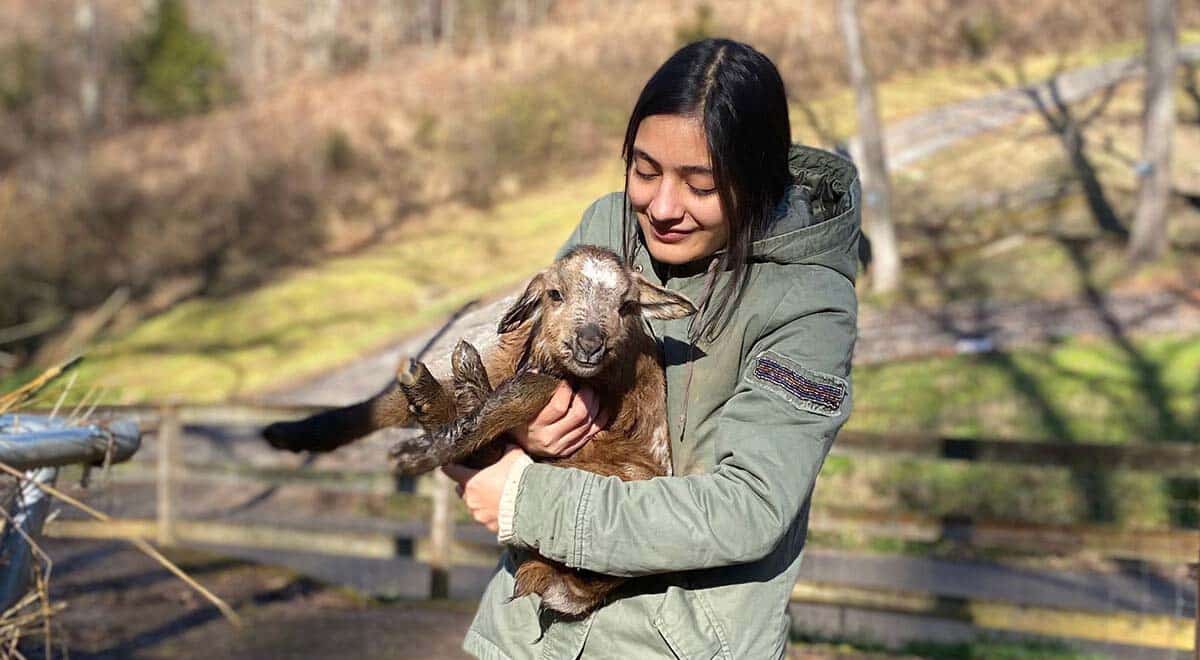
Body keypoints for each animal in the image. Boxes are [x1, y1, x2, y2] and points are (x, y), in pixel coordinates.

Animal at [262, 246, 696, 619]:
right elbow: (386, 406)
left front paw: (422, 452)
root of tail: (583, 590)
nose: (590, 344)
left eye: (627, 307)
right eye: (555, 294)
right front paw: (294, 433)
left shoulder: (580, 386)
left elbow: (506, 403)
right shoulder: (525, 367)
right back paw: (442, 385)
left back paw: (449, 390)